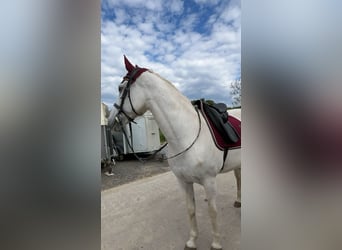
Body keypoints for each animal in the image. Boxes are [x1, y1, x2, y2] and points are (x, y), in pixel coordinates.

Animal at [108, 56, 242, 250]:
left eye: (120, 88)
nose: (111, 120)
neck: (187, 133)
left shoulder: (209, 181)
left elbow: (212, 212)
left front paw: (216, 243)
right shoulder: (184, 181)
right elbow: (191, 210)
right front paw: (192, 241)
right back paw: (239, 201)